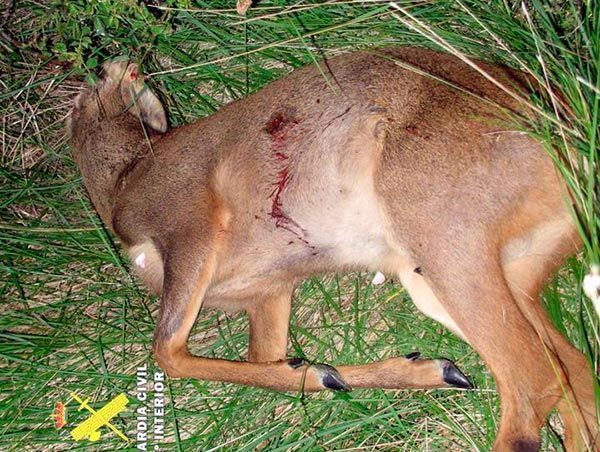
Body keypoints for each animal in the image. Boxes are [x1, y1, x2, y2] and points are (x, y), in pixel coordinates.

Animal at [68, 47, 596, 450]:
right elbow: (262, 355)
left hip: (440, 227)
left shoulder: (187, 223)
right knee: (575, 370)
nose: (122, 62)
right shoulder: (271, 289)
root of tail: (570, 141)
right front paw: (336, 372)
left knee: (534, 380)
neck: (123, 181)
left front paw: (324, 374)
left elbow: (166, 351)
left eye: (88, 87)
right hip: (471, 273)